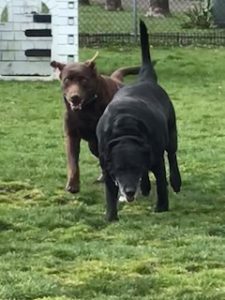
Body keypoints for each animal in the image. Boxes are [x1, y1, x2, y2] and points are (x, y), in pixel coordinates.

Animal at [50, 53, 139, 192]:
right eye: (67, 80)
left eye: (83, 80)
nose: (74, 97)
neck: (86, 109)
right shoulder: (72, 135)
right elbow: (72, 161)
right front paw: (73, 184)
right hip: (93, 145)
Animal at [96, 20, 181, 220]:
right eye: (119, 169)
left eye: (134, 168)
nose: (128, 191)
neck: (124, 130)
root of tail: (145, 78)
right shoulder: (107, 165)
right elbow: (110, 192)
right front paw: (111, 217)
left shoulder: (156, 159)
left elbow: (161, 182)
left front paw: (162, 207)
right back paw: (145, 187)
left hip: (172, 133)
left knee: (172, 155)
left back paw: (175, 181)